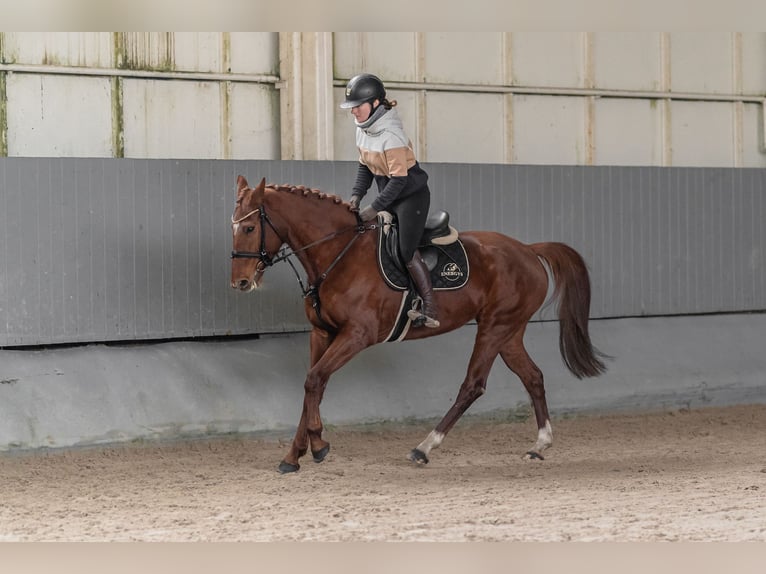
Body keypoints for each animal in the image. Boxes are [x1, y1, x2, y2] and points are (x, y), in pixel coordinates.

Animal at [231, 178, 608, 474]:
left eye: (249, 228)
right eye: (233, 226)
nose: (241, 282)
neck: (339, 253)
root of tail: (528, 250)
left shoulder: (357, 336)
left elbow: (314, 380)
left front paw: (319, 446)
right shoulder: (322, 334)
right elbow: (313, 387)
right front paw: (294, 456)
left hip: (494, 327)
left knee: (473, 385)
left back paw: (424, 448)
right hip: (510, 332)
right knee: (533, 377)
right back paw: (539, 445)